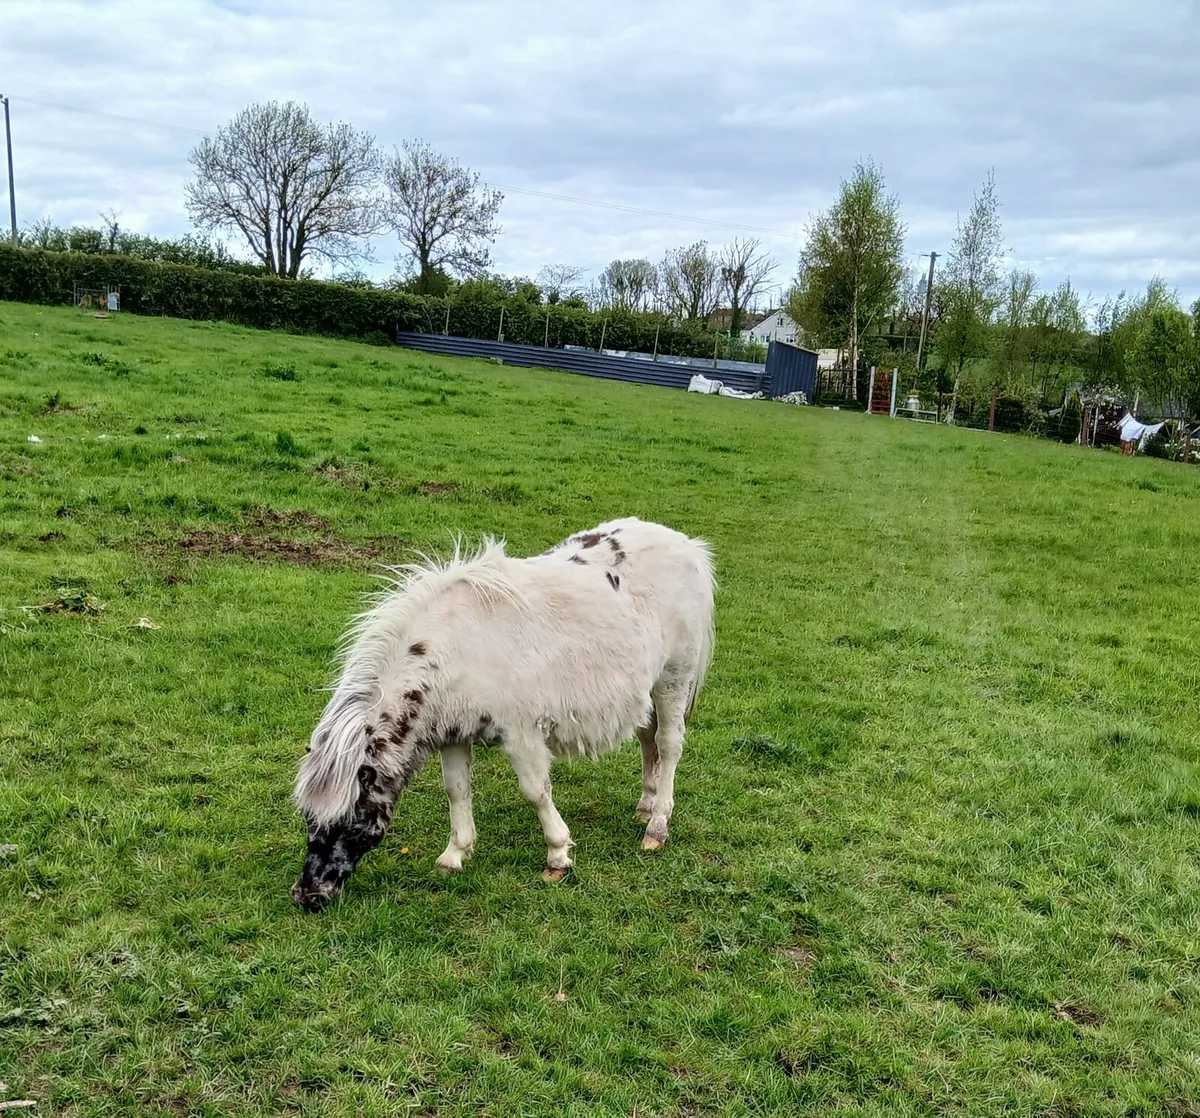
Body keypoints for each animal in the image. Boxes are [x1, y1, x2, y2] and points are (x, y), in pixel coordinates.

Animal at [291, 517, 715, 911]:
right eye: (308, 818)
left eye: (351, 819)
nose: (309, 895)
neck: (453, 651)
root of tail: (687, 545)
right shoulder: (453, 735)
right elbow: (457, 790)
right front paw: (455, 855)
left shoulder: (522, 735)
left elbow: (536, 791)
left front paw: (557, 856)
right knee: (648, 741)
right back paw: (645, 807)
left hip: (673, 678)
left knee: (669, 744)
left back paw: (657, 826)